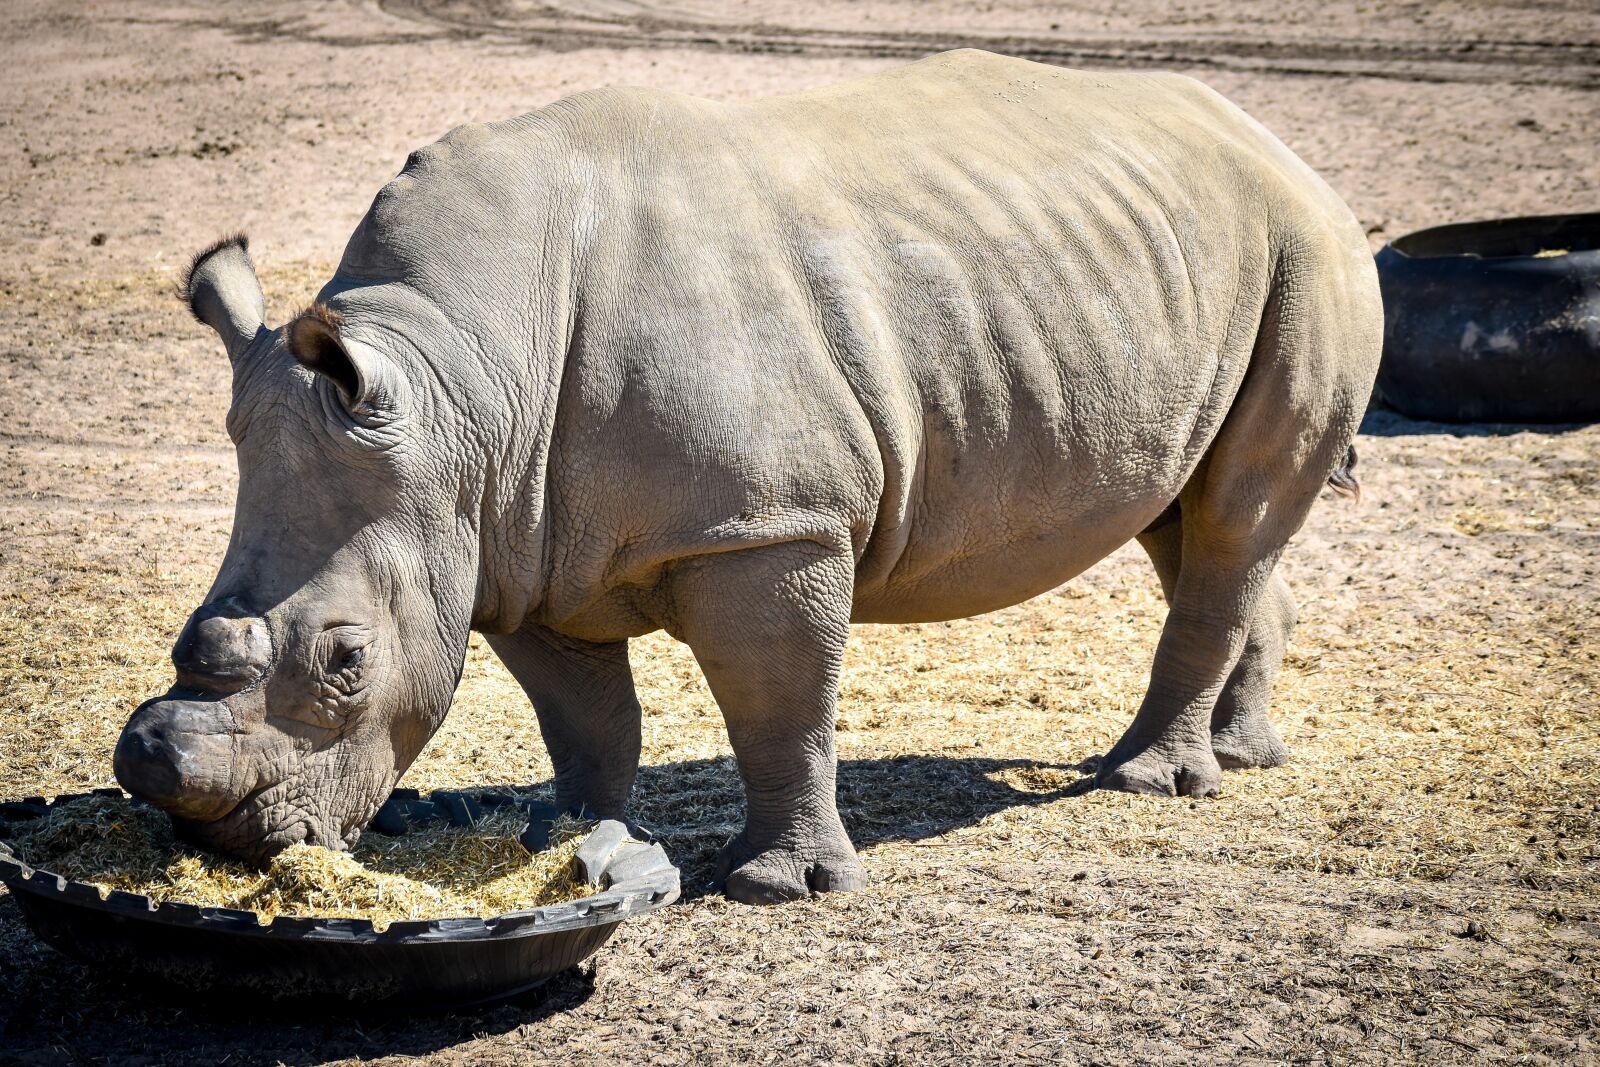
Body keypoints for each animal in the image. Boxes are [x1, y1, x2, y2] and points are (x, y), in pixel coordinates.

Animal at [114, 49, 1381, 903]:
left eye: (345, 660)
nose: (222, 839)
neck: (458, 378)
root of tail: (1284, 149)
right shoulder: (510, 540)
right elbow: (585, 716)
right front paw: (558, 837)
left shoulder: (767, 524)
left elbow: (780, 700)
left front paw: (781, 887)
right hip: (1176, 275)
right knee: (1195, 514)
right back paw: (1239, 755)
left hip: (1310, 250)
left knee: (1230, 518)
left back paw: (1145, 782)